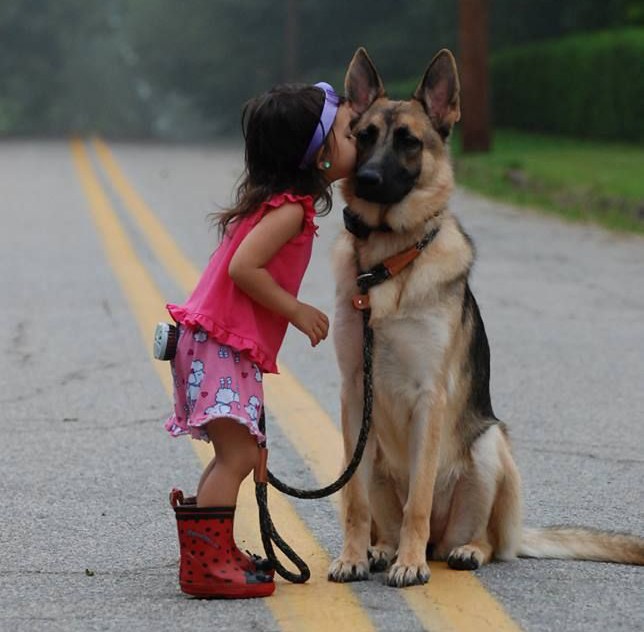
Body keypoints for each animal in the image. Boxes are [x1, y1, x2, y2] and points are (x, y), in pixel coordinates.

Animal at [330, 48, 640, 588]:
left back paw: (456, 551)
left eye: (408, 141)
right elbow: (354, 499)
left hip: (490, 446)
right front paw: (354, 556)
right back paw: (382, 549)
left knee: (487, 541)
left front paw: (410, 565)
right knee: (382, 515)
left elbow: (418, 498)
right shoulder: (353, 394)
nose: (366, 180)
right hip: (379, 457)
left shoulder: (429, 397)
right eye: (363, 135)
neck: (388, 262)